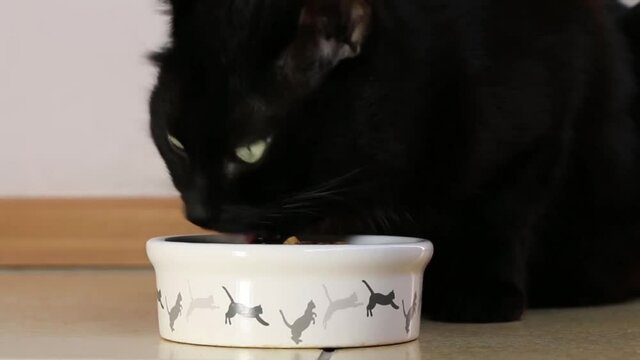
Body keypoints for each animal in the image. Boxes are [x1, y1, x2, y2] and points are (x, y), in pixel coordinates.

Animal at [149, 0, 640, 322]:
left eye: (251, 149)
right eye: (174, 141)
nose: (199, 211)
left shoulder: (541, 125)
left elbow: (504, 215)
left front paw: (481, 297)